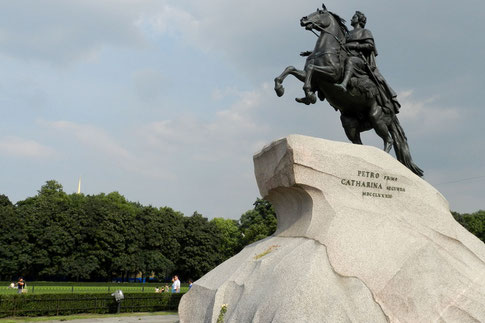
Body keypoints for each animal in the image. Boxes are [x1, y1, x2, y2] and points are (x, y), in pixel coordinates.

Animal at [274, 5, 422, 177]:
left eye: (320, 13)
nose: (303, 20)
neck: (327, 49)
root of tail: (392, 111)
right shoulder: (310, 76)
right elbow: (291, 69)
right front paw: (280, 88)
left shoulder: (331, 74)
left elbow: (311, 70)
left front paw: (309, 94)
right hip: (349, 123)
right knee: (359, 143)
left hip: (377, 118)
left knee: (389, 140)